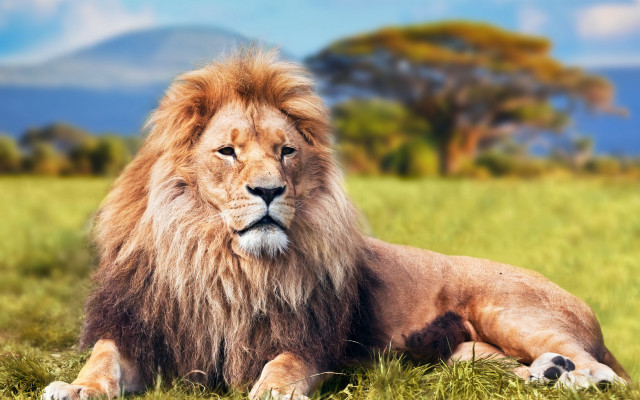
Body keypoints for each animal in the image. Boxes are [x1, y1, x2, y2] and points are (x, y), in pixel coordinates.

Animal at [43, 50, 630, 400]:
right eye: (228, 152)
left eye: (285, 152)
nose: (269, 191)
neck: (224, 263)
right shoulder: (138, 328)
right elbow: (102, 359)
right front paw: (75, 388)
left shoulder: (310, 341)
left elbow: (283, 365)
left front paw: (271, 391)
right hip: (464, 353)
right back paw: (545, 373)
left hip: (507, 309)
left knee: (603, 370)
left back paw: (573, 376)